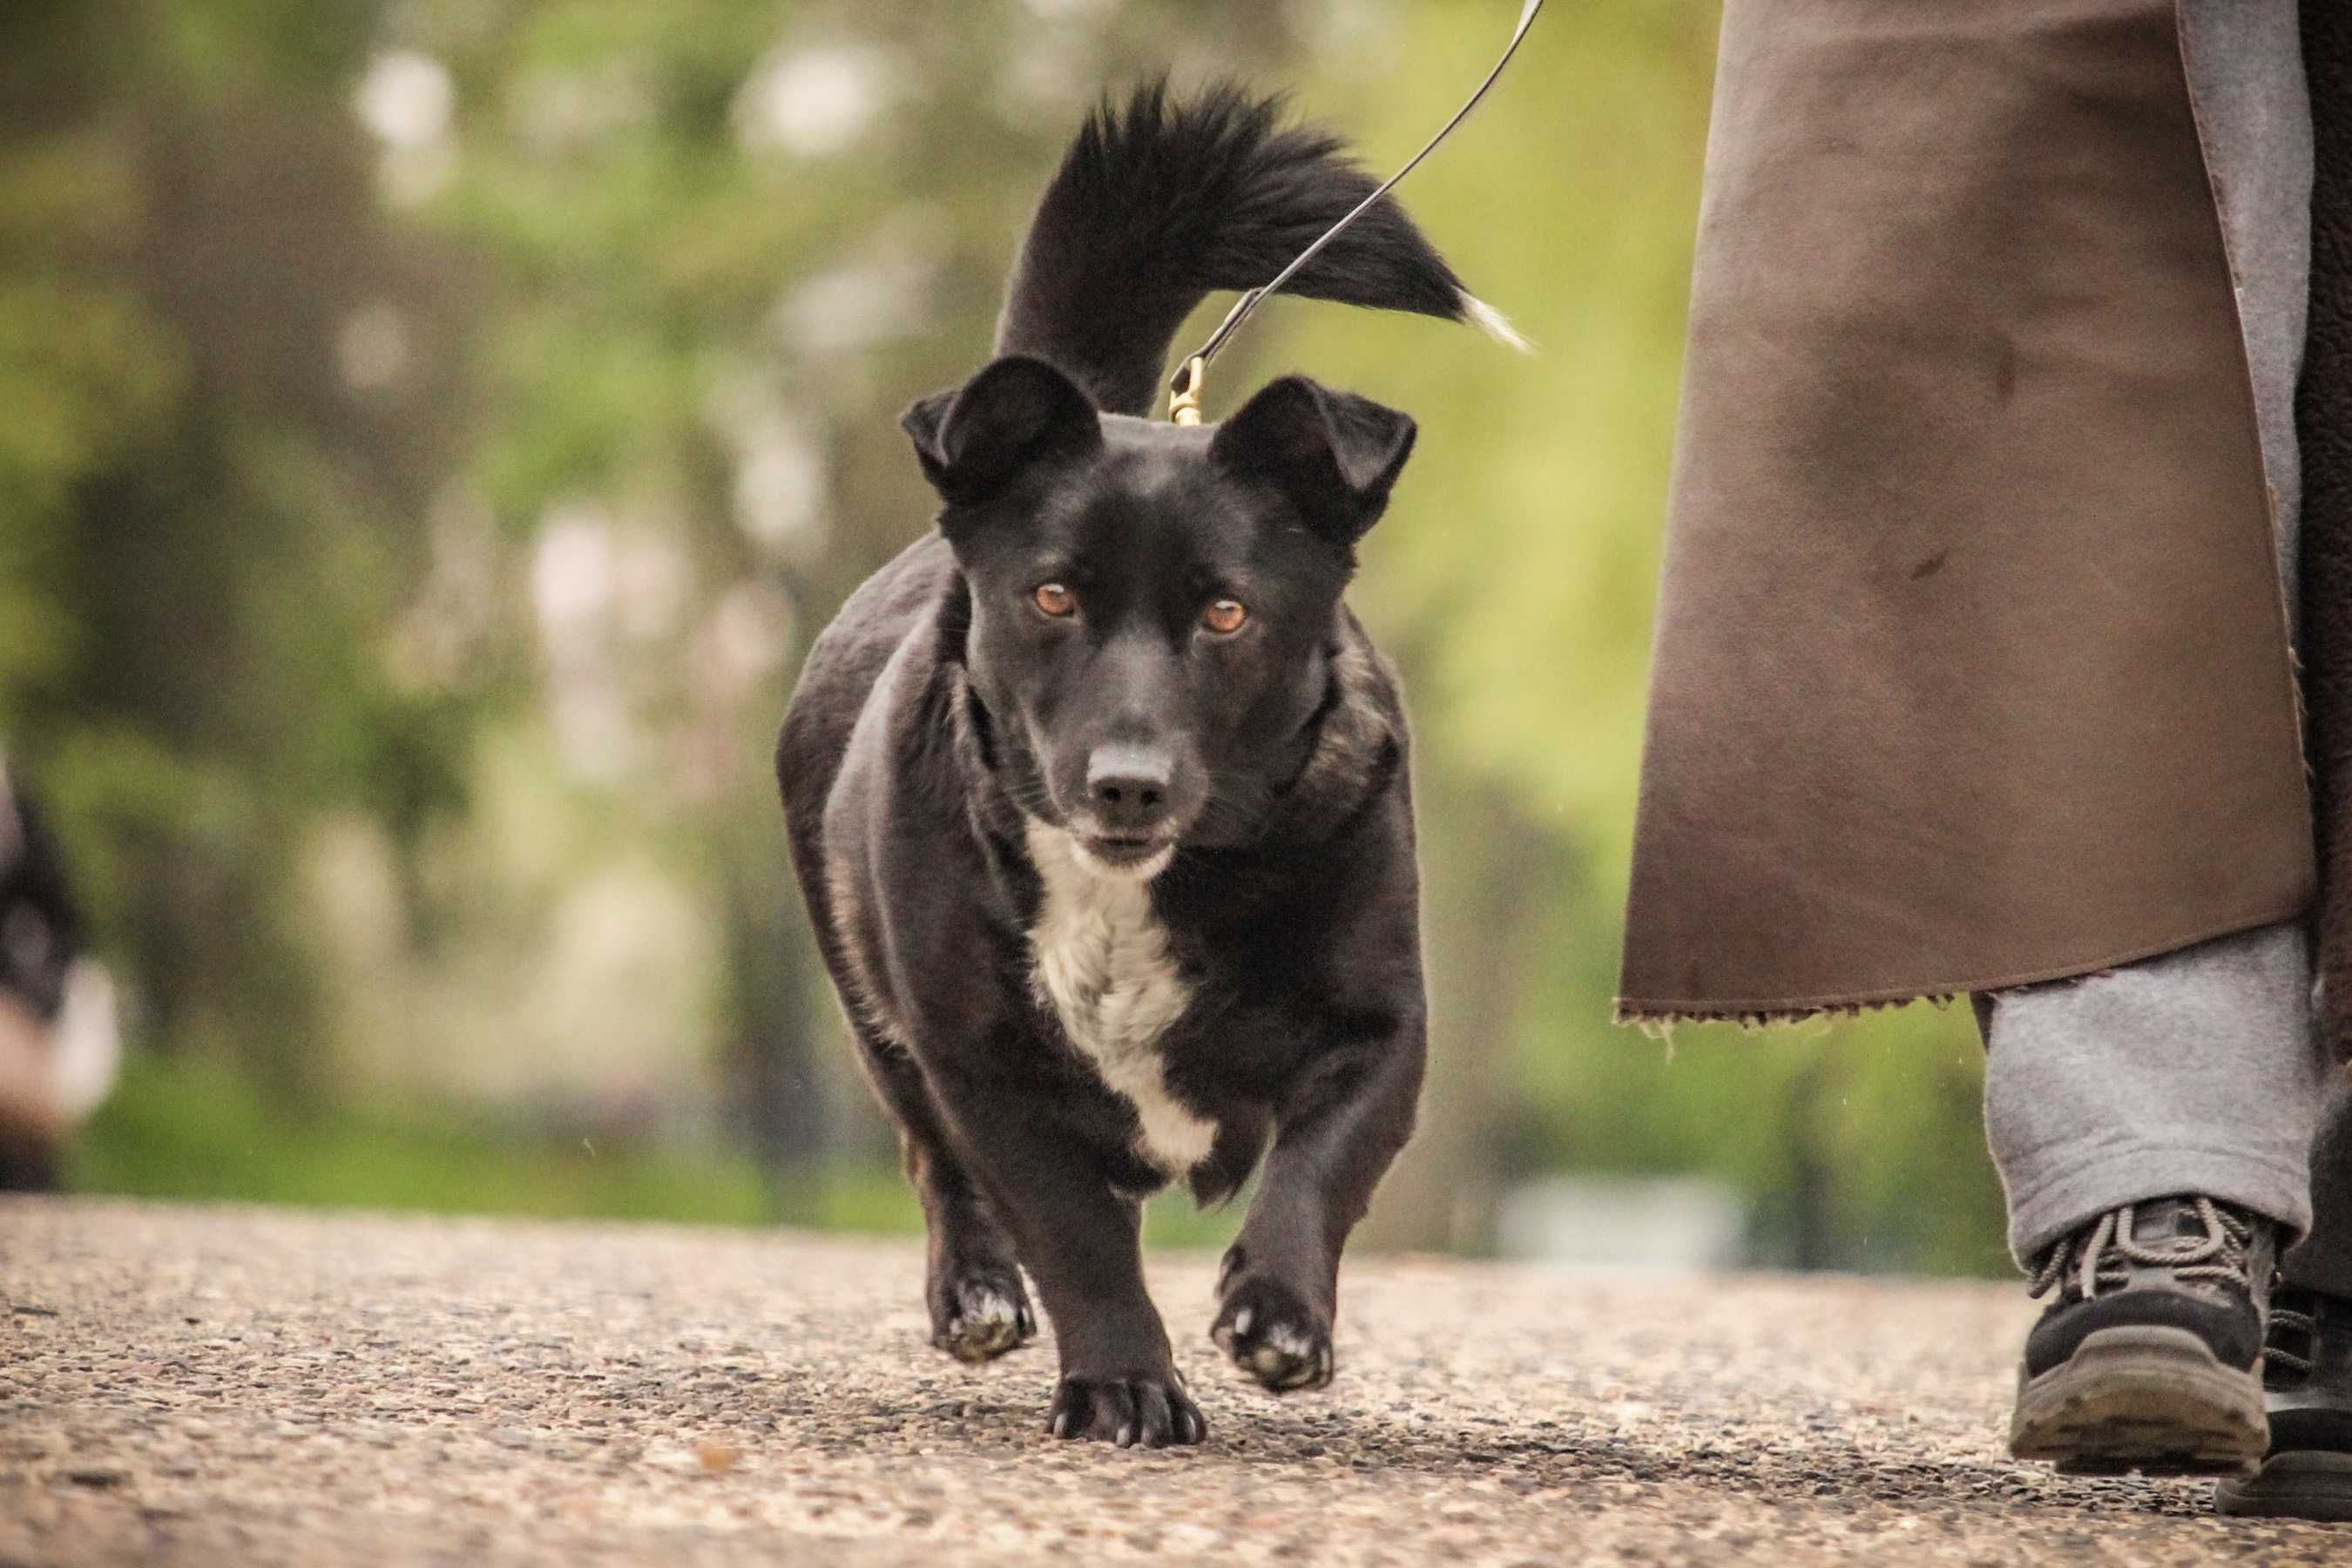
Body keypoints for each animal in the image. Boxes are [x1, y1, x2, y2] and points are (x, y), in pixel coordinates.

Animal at [781, 76, 1514, 1448]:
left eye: (1227, 614)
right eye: (1053, 596)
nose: (1128, 783)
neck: (1136, 889)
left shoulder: (1383, 1027)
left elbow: (1320, 1163)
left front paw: (1279, 1311)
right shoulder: (984, 1066)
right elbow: (1070, 1231)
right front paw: (1123, 1379)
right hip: (872, 1008)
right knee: (932, 1160)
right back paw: (974, 1291)